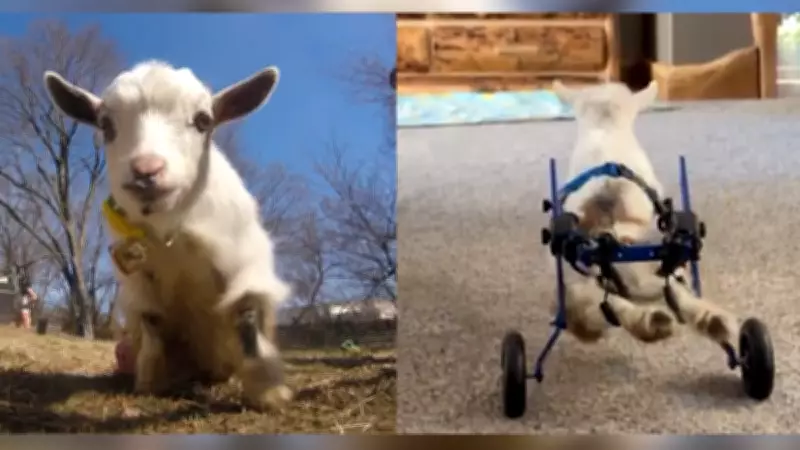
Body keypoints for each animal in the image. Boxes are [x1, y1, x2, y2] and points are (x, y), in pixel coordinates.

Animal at [43, 60, 292, 410]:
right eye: (105, 125)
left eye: (203, 120)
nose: (146, 171)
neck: (172, 230)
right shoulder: (138, 277)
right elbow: (152, 322)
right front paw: (150, 382)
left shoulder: (243, 260)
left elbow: (246, 314)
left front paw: (268, 391)